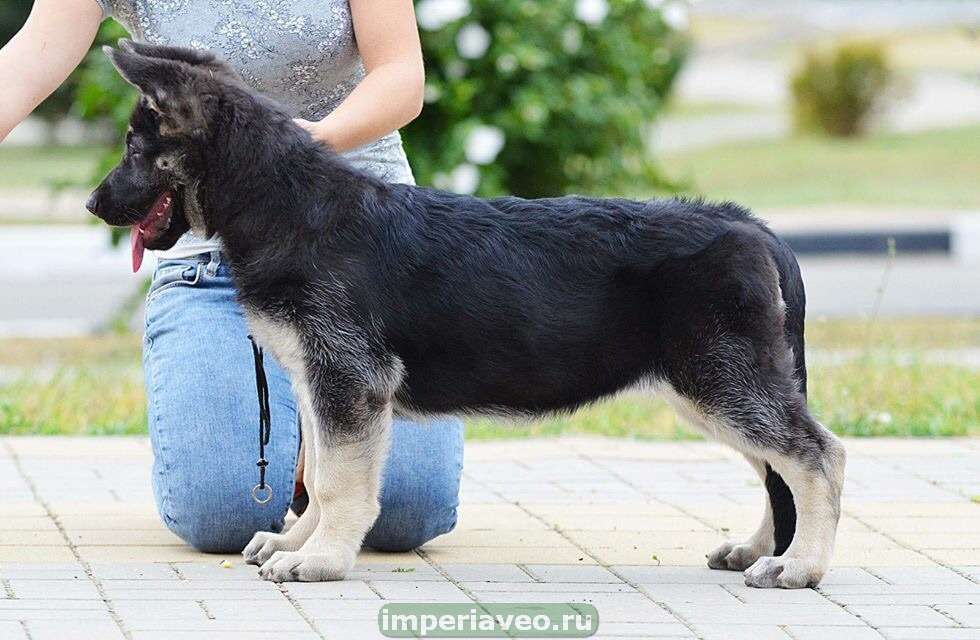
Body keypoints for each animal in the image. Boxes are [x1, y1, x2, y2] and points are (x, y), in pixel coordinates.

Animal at [87, 41, 846, 588]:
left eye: (134, 149)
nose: (93, 205)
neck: (282, 201)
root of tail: (752, 227)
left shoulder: (346, 384)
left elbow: (337, 482)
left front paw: (320, 561)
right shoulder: (321, 387)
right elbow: (321, 480)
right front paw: (298, 544)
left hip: (720, 382)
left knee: (815, 455)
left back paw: (800, 565)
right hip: (714, 388)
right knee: (776, 462)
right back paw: (760, 549)